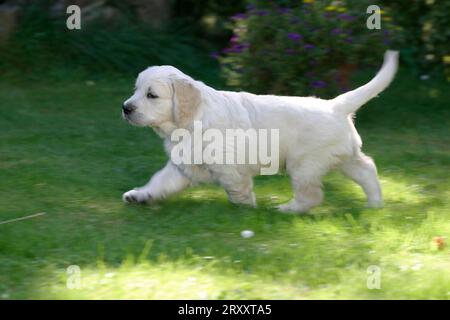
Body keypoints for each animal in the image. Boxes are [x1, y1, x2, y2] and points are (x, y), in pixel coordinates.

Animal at [122, 51, 398, 214]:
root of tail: (335, 105)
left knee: (311, 195)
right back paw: (375, 204)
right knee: (367, 170)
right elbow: (160, 181)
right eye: (135, 90)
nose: (126, 108)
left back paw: (286, 209)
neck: (190, 121)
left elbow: (237, 188)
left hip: (304, 163)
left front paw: (246, 208)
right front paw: (141, 196)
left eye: (151, 95)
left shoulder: (229, 166)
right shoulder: (183, 165)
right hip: (344, 157)